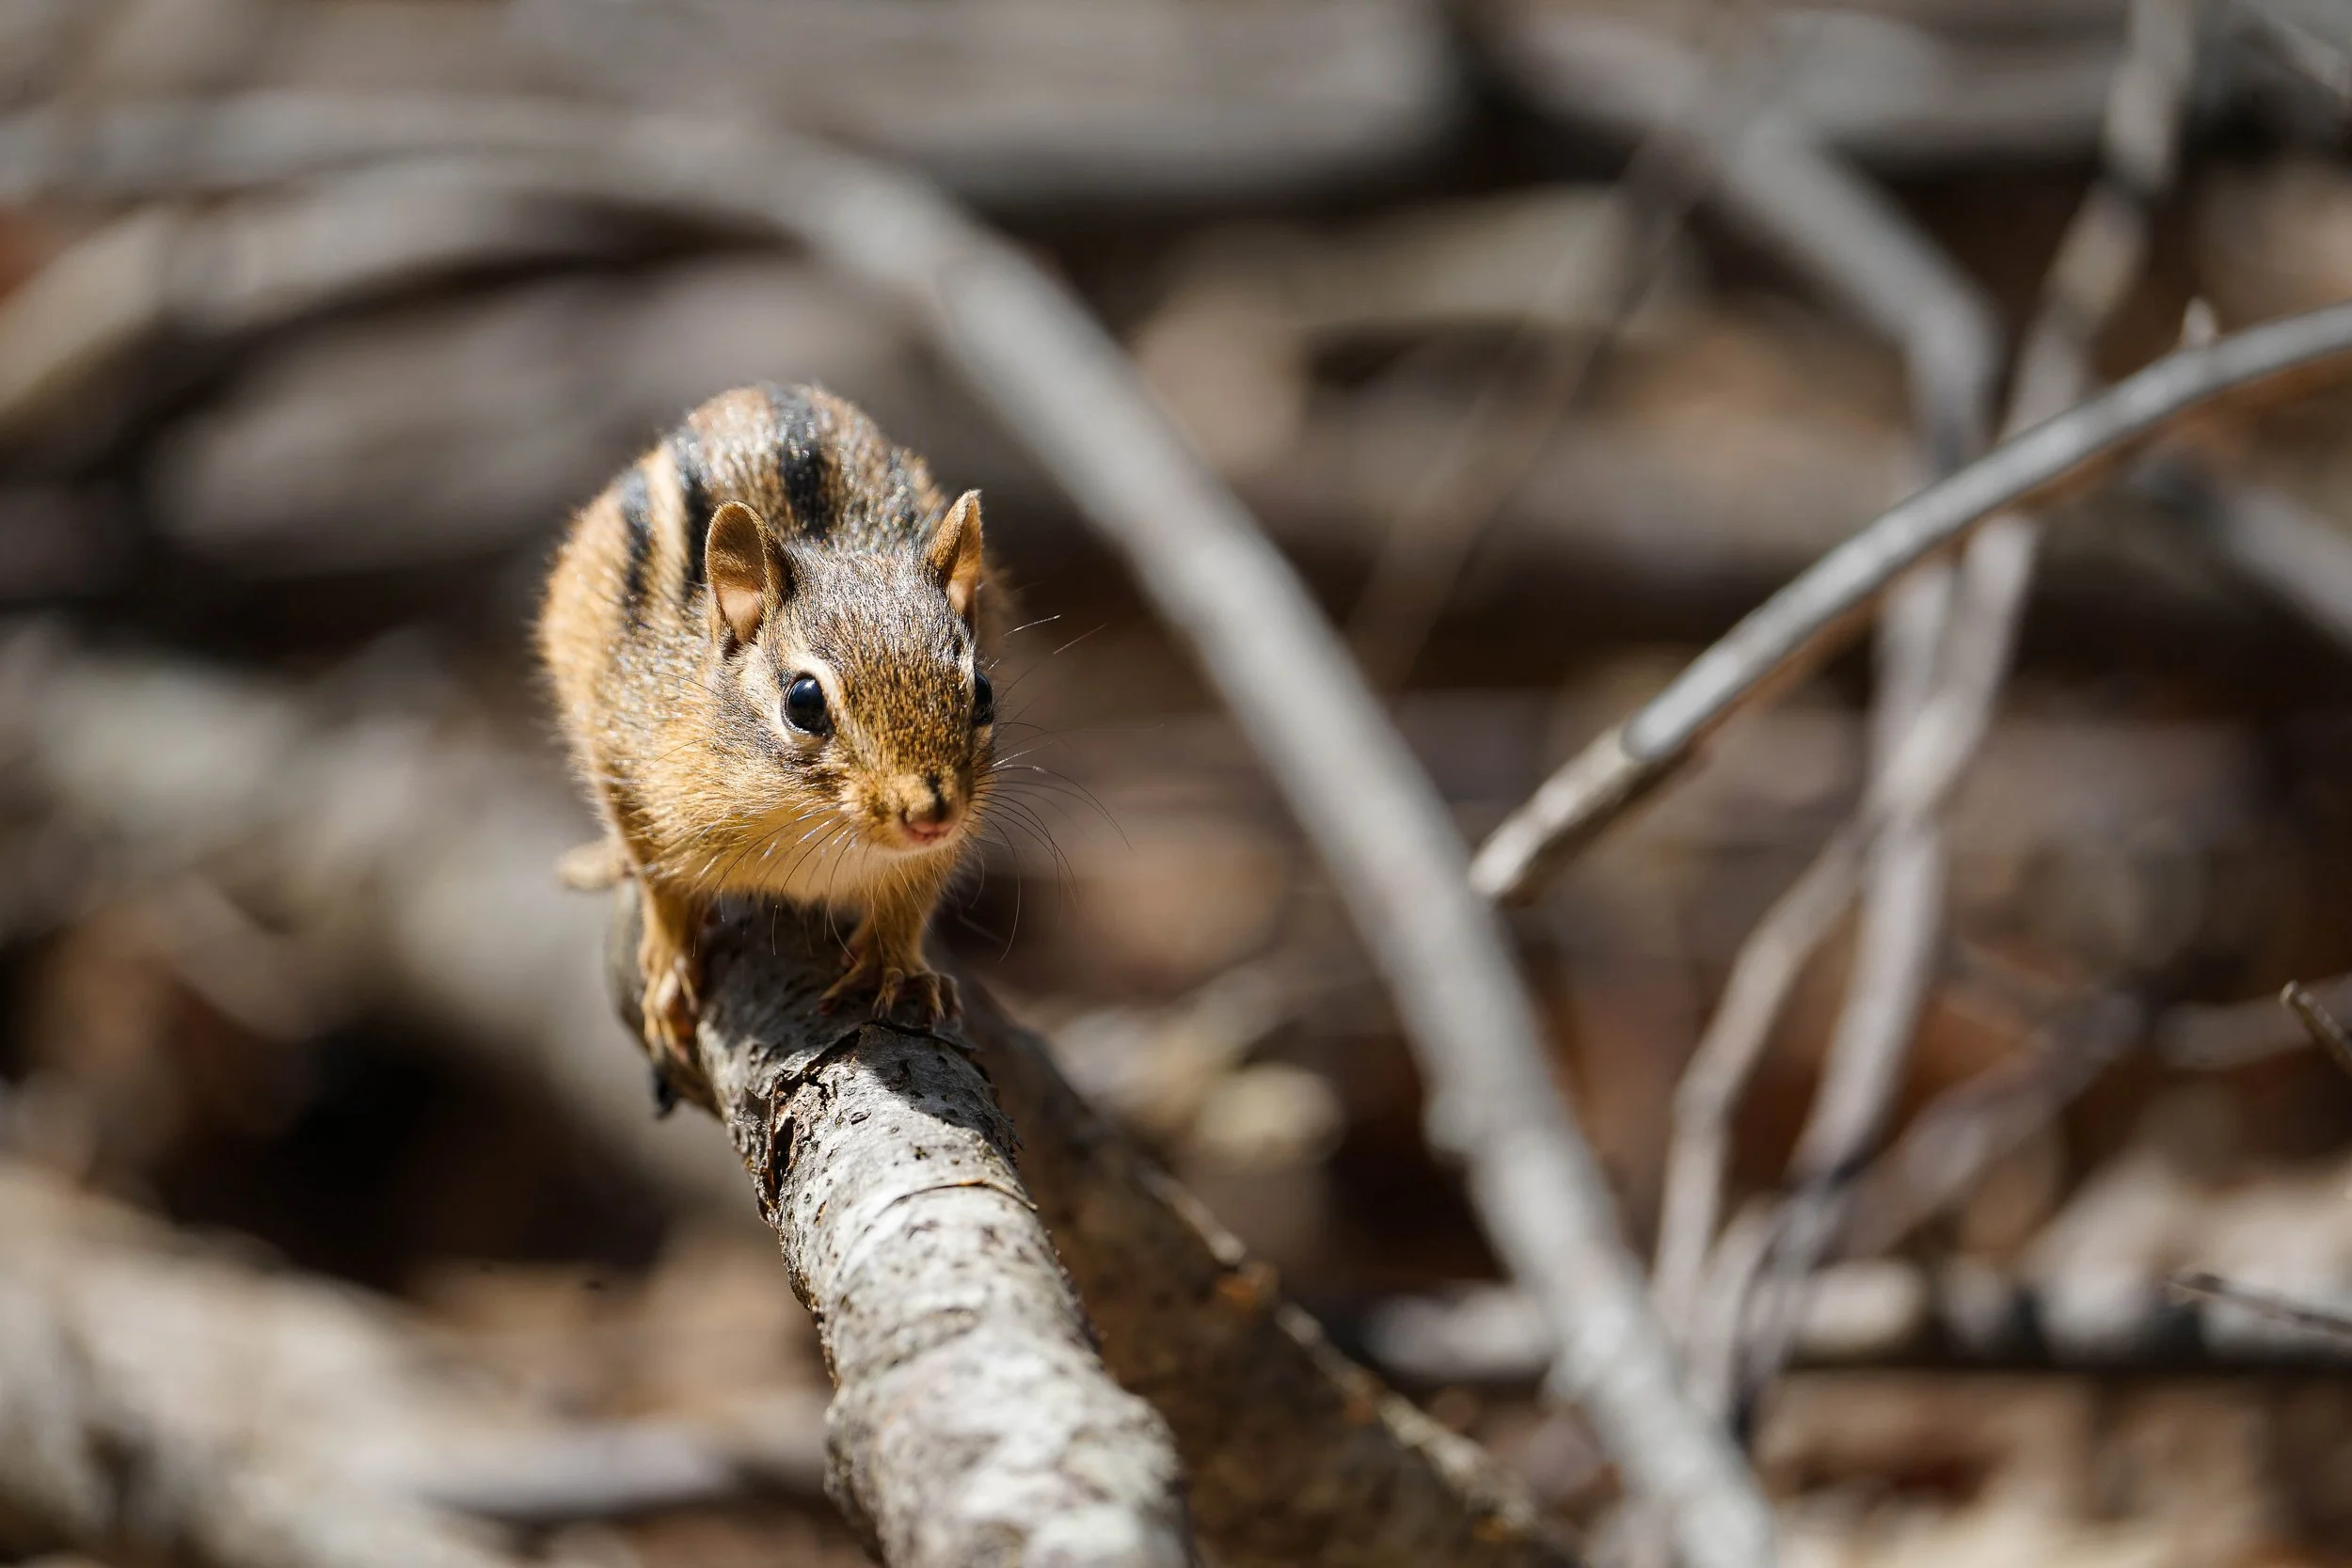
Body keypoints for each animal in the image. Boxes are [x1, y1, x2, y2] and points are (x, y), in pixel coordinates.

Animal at [538, 384, 995, 1114]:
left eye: (982, 692)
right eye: (803, 702)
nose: (932, 815)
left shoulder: (933, 854)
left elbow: (909, 898)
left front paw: (897, 965)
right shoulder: (625, 764)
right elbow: (661, 881)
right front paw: (670, 967)